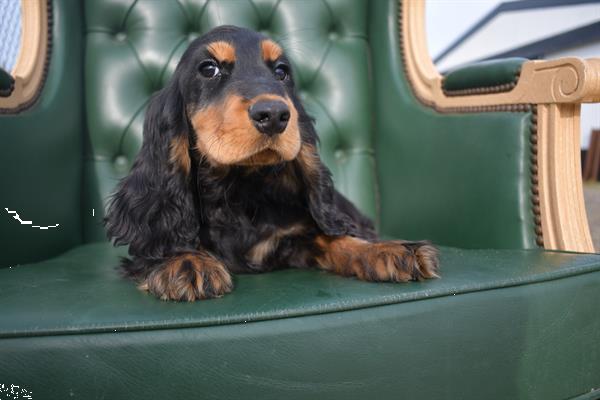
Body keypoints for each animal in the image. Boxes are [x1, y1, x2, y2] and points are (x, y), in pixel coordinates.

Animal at [105, 26, 438, 302]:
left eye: (281, 71)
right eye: (209, 69)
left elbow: (334, 238)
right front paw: (186, 261)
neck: (238, 188)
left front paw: (389, 250)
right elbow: (164, 245)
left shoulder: (295, 239)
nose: (275, 114)